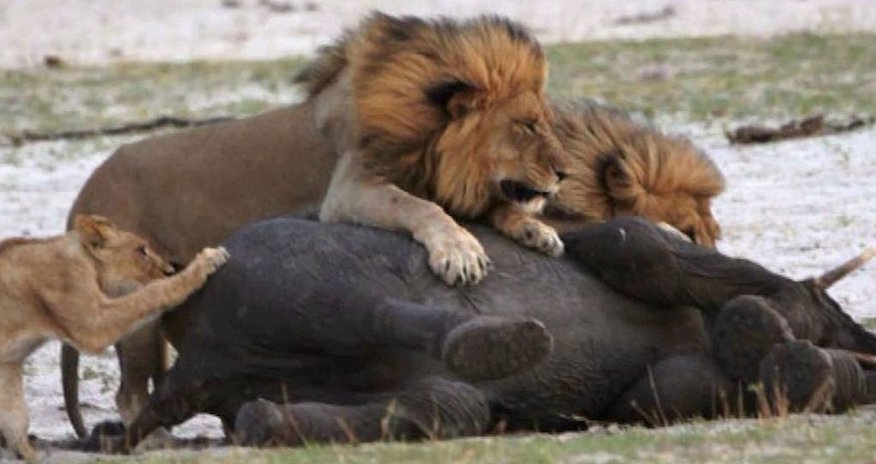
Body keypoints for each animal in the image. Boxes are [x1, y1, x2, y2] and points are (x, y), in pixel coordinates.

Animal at [0, 215, 227, 462]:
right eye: (142, 250)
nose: (168, 270)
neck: (86, 261)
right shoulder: (93, 323)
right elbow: (148, 295)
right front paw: (204, 263)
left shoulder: (8, 362)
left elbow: (15, 413)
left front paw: (29, 455)